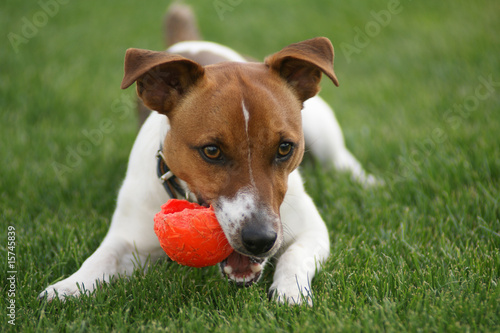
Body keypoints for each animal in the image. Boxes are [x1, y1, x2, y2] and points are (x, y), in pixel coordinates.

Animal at [40, 3, 376, 304]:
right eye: (212, 151)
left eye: (284, 148)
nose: (260, 240)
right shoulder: (127, 239)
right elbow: (100, 259)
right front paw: (66, 287)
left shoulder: (311, 230)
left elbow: (295, 255)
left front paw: (291, 291)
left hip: (323, 128)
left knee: (342, 161)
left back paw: (368, 182)